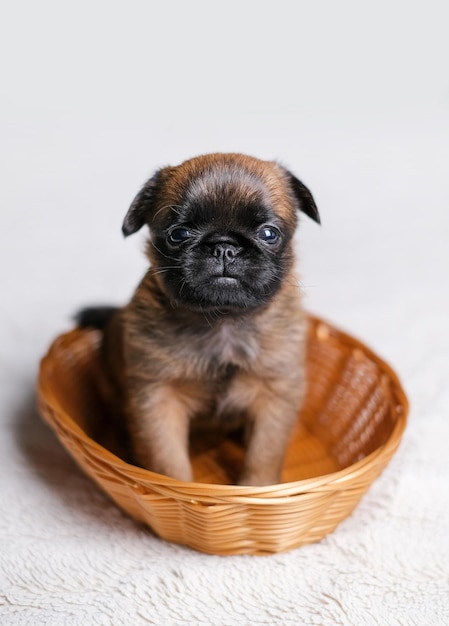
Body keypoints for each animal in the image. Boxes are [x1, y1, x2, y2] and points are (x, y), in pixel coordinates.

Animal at [79, 151, 320, 482]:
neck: (222, 320)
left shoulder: (276, 395)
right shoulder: (158, 400)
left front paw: (257, 487)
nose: (225, 247)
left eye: (269, 234)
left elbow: (263, 455)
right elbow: (168, 462)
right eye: (178, 234)